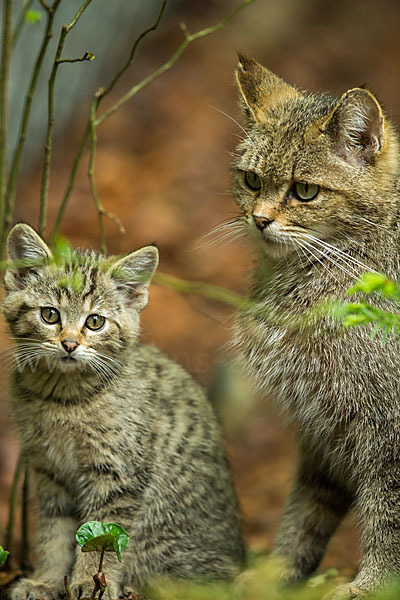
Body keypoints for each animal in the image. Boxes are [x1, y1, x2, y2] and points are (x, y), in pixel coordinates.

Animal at [3, 224, 244, 600]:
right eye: (50, 315)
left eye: (95, 322)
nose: (69, 344)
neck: (62, 397)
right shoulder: (50, 474)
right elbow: (54, 534)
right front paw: (46, 580)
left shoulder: (119, 473)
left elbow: (101, 536)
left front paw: (88, 584)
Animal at [233, 55, 400, 596]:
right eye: (251, 181)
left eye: (305, 190)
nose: (259, 220)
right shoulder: (322, 428)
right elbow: (306, 513)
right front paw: (274, 573)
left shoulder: (384, 427)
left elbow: (387, 516)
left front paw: (372, 585)